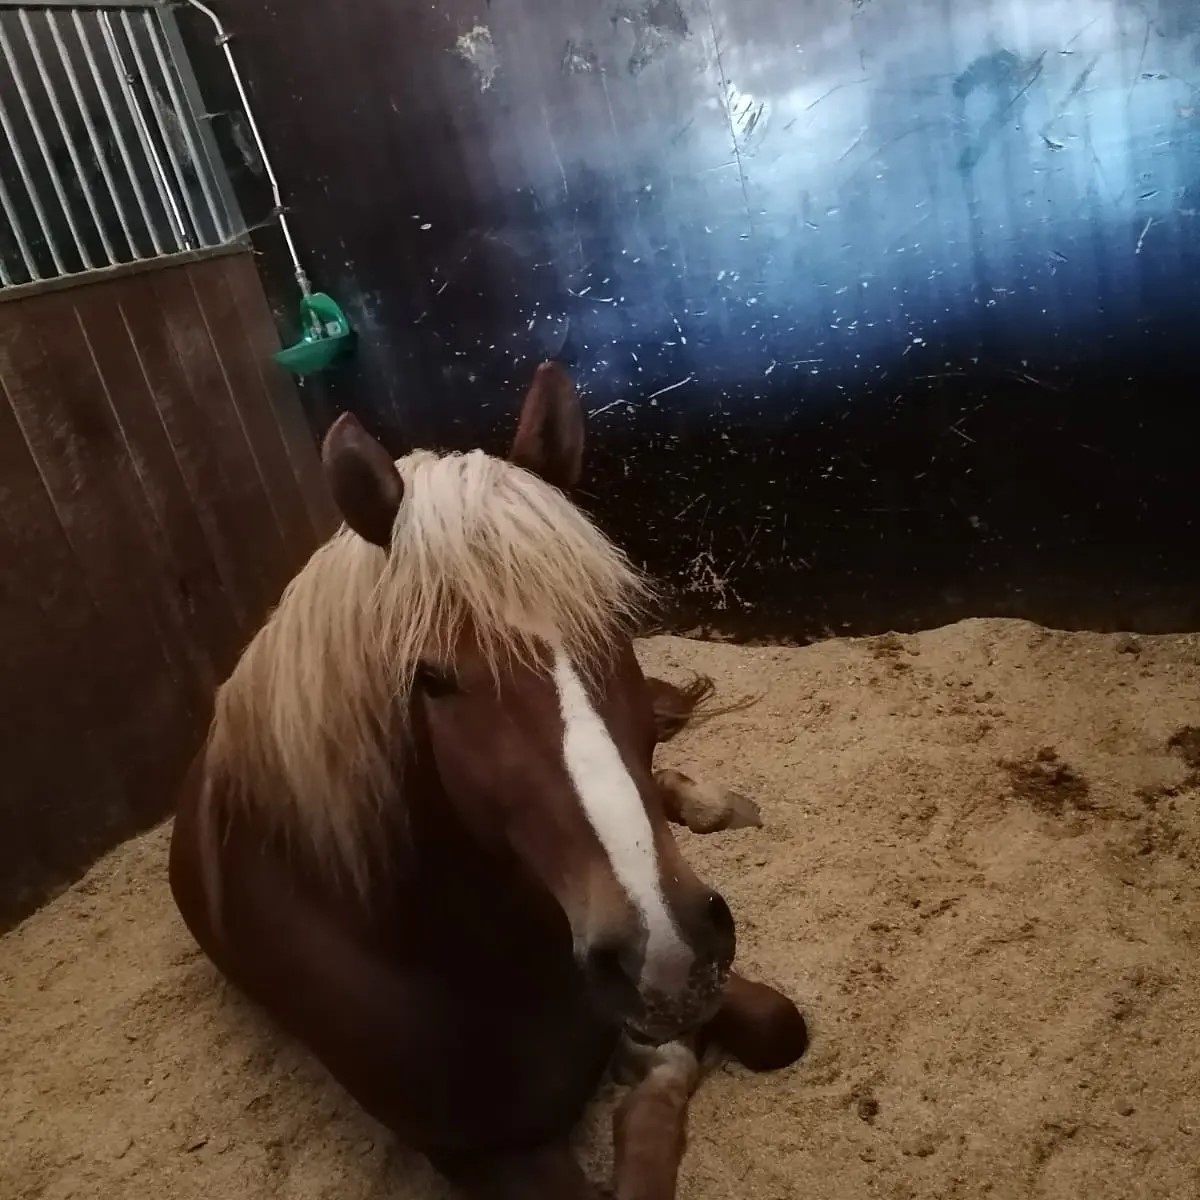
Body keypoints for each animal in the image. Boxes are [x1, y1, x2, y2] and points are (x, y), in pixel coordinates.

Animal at [168, 362, 808, 1199]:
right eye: (433, 678)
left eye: (617, 624)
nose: (668, 953)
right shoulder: (489, 1155)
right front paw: (656, 1070)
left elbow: (780, 1027)